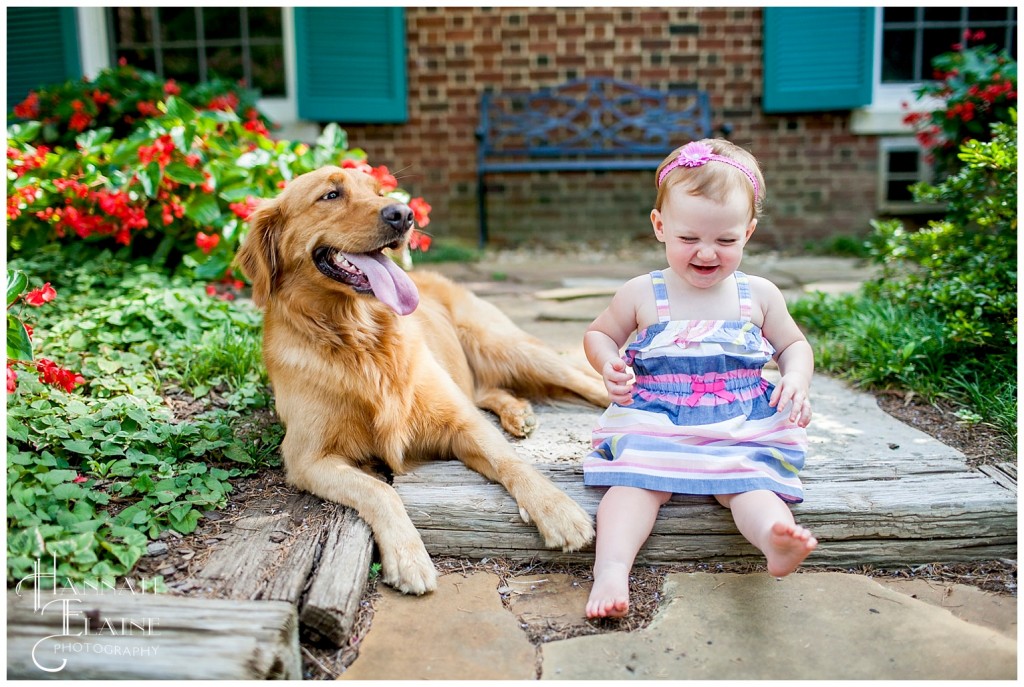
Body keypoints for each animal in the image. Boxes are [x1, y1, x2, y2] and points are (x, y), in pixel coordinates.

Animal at [237, 167, 606, 597]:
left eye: (379, 192)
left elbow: (511, 462)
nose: (403, 214)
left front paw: (558, 510)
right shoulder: (307, 458)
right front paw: (408, 556)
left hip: (506, 345)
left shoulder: (461, 423)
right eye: (330, 194)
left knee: (587, 380)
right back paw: (518, 412)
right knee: (486, 390)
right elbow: (380, 490)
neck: (359, 338)